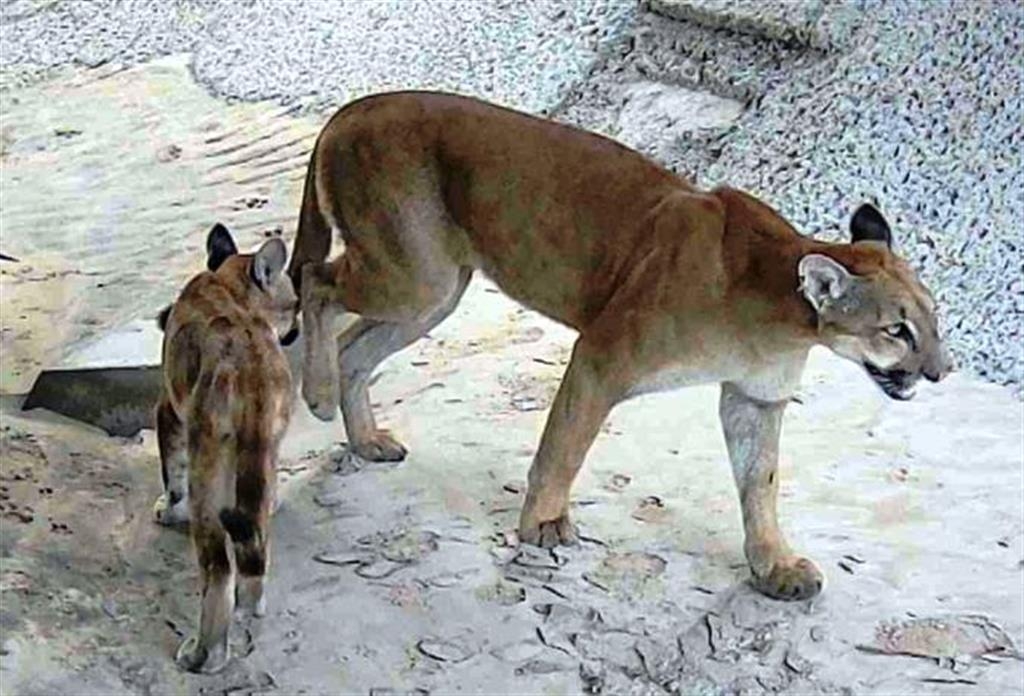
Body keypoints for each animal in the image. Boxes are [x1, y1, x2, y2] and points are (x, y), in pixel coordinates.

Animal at [286, 92, 950, 601]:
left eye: (935, 320)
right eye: (897, 329)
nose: (942, 372)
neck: (785, 317)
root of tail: (355, 106)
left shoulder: (754, 401)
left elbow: (759, 484)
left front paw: (774, 566)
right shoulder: (602, 357)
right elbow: (565, 447)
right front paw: (543, 524)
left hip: (435, 291)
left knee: (353, 345)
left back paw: (364, 437)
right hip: (413, 275)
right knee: (316, 286)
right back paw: (315, 394)